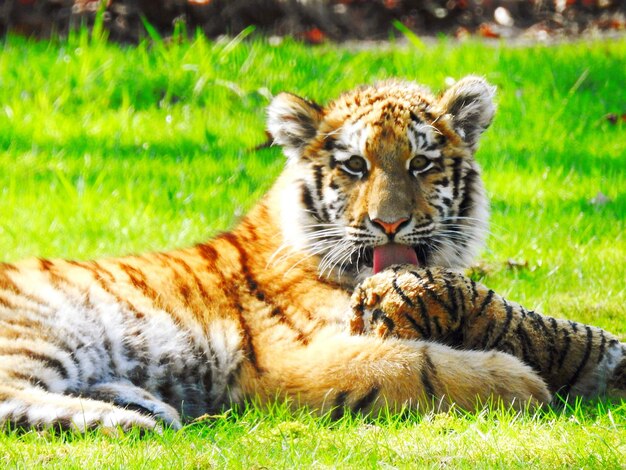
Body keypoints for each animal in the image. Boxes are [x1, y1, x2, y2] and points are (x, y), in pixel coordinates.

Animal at [0, 76, 620, 430]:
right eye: (356, 166)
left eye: (420, 164)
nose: (389, 223)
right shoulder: (288, 358)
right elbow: (418, 364)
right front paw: (521, 383)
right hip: (41, 329)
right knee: (11, 398)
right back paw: (130, 421)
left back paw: (145, 405)